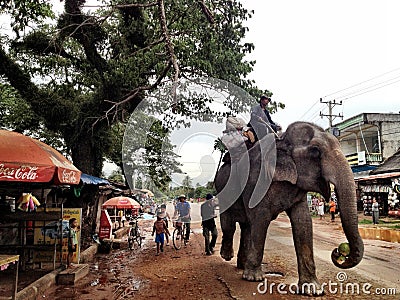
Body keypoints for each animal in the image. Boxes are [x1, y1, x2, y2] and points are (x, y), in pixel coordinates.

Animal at [214, 121, 364, 292]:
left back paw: (241, 265)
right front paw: (253, 278)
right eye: (315, 151)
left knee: (246, 226)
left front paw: (312, 289)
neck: (282, 139)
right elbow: (260, 220)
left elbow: (303, 222)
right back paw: (227, 257)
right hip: (223, 191)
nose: (337, 252)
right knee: (230, 225)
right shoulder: (256, 180)